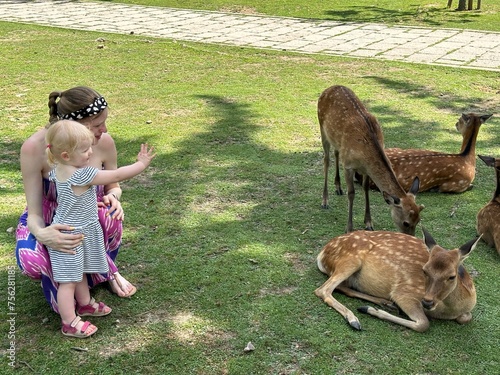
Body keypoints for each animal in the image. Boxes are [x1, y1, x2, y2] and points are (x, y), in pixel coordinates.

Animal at [314, 229, 478, 332]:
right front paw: (370, 310)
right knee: (323, 289)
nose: (427, 302)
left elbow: (467, 317)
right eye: (424, 270)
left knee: (342, 288)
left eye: (452, 276)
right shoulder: (404, 292)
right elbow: (423, 324)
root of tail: (322, 254)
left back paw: (385, 303)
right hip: (351, 259)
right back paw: (354, 319)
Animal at [320, 86, 422, 236]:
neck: (365, 156)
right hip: (322, 129)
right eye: (406, 222)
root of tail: (330, 88)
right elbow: (352, 193)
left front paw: (368, 223)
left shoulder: (366, 169)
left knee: (336, 153)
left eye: (419, 220)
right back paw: (325, 201)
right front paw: (349, 228)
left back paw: (338, 188)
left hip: (336, 141)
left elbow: (366, 188)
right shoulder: (348, 165)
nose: (412, 238)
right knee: (326, 160)